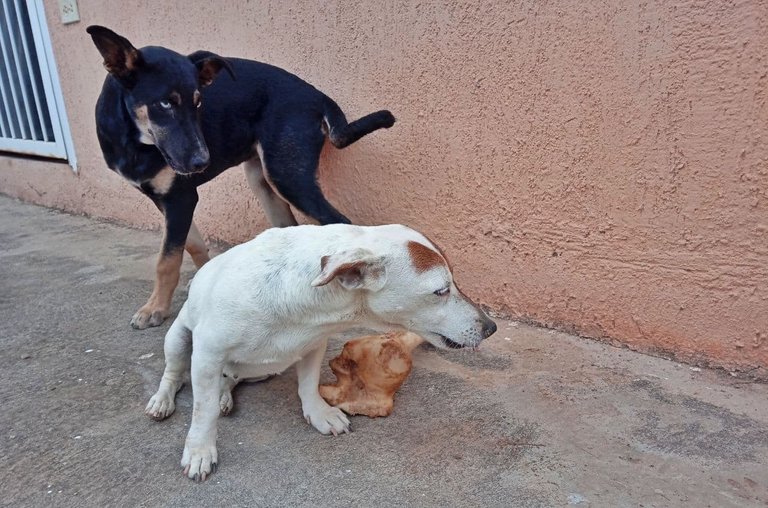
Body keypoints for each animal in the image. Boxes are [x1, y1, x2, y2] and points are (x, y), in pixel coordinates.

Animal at [87, 26, 392, 330]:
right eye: (164, 103)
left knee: (338, 222)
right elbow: (190, 243)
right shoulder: (168, 200)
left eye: (199, 103)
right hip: (262, 179)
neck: (134, 141)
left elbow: (167, 260)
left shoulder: (181, 197)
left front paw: (155, 308)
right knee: (287, 228)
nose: (202, 162)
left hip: (287, 175)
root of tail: (318, 96)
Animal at [144, 224, 498, 482]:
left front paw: (320, 414)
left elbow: (308, 386)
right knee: (174, 374)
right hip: (178, 339)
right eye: (441, 291)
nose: (491, 327)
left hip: (261, 370)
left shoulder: (314, 344)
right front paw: (200, 451)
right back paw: (163, 400)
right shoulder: (207, 353)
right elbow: (202, 411)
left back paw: (224, 395)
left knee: (231, 379)